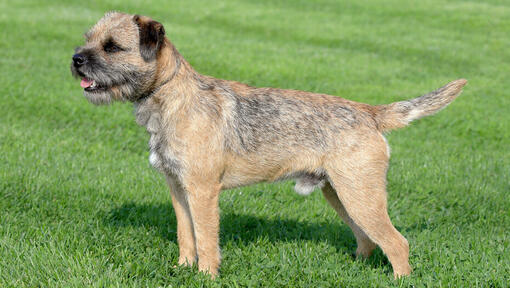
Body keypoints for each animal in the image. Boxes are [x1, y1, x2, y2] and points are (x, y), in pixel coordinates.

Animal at [70, 11, 466, 280]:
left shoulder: (202, 191)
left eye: (112, 47)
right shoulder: (178, 189)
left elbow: (206, 239)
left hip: (360, 194)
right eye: (88, 39)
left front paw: (205, 276)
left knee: (397, 242)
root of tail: (370, 112)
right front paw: (182, 269)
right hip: (341, 193)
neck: (172, 98)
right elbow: (186, 236)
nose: (76, 59)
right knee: (367, 239)